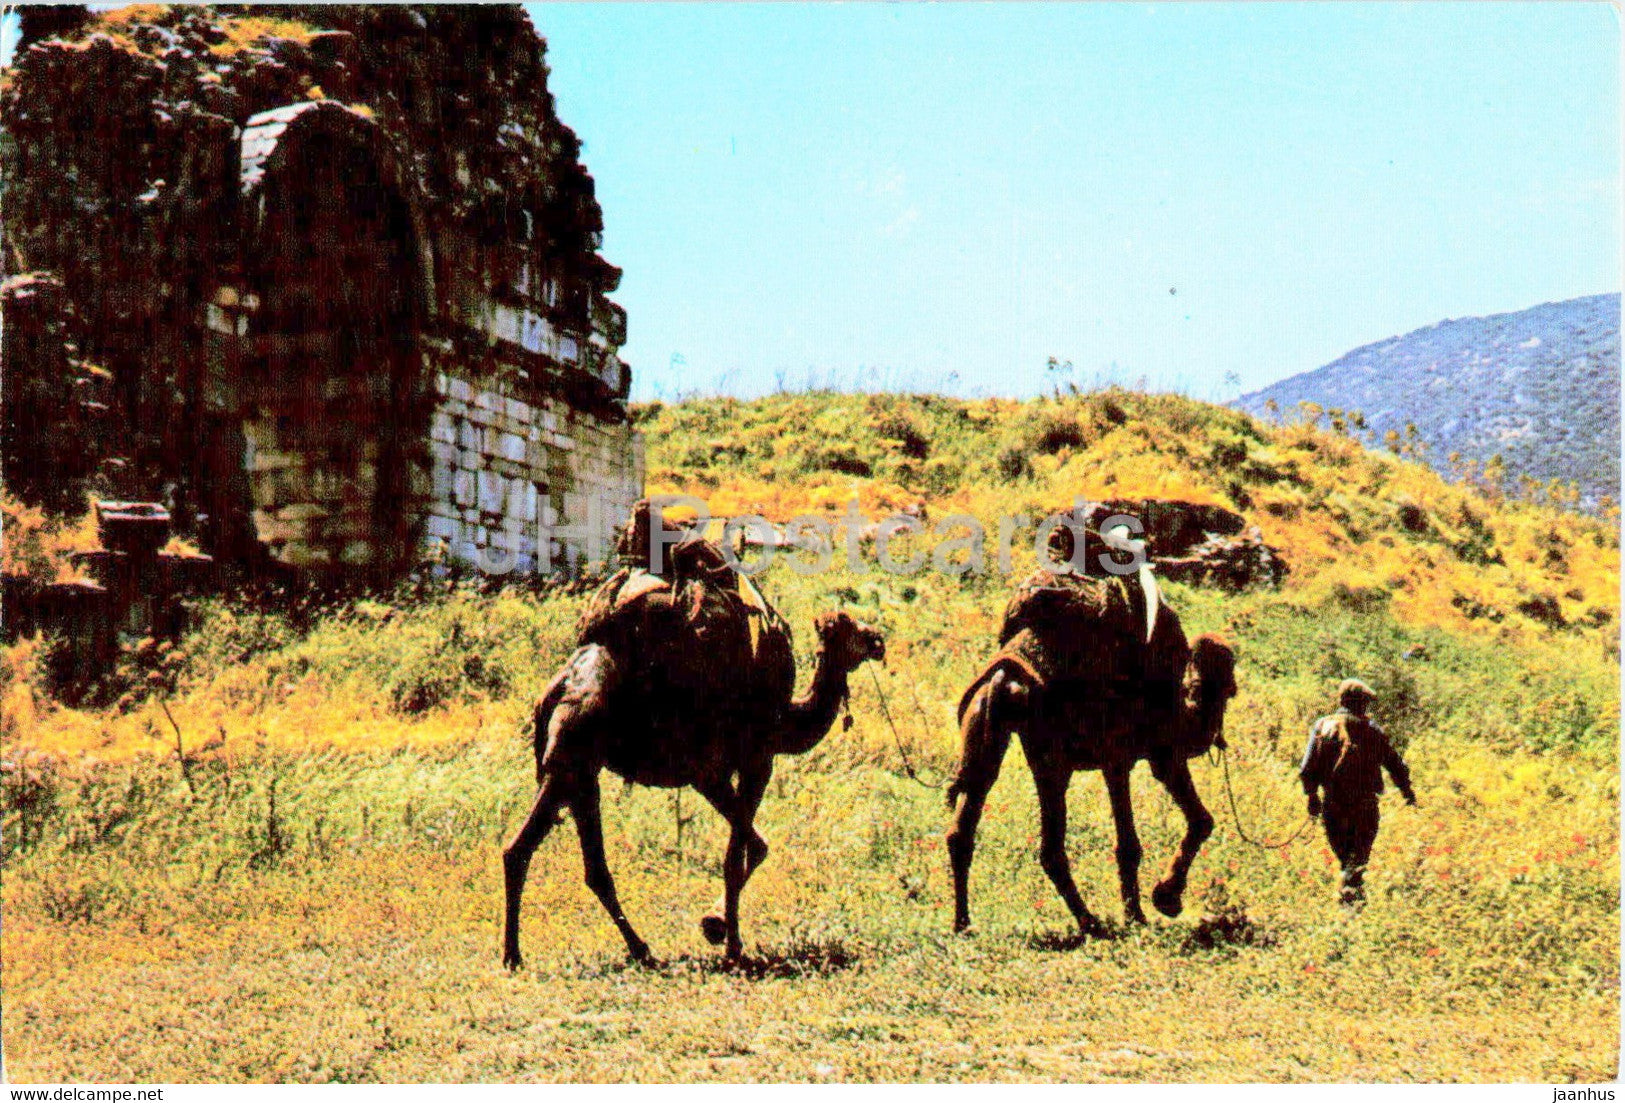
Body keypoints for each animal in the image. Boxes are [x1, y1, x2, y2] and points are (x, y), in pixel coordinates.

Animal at [503, 552, 890, 968]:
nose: (878, 641)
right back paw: (514, 955)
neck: (784, 718)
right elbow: (740, 853)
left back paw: (639, 950)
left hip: (581, 773)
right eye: (849, 626)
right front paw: (731, 943)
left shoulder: (709, 776)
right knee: (521, 850)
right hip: (570, 759)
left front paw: (715, 925)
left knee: (591, 867)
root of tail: (555, 690)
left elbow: (753, 846)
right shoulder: (750, 762)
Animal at [949, 562, 1235, 942]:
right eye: (1227, 682)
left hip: (985, 725)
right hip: (1052, 755)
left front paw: (1160, 901)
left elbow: (1195, 821)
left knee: (967, 828)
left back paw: (964, 923)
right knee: (1050, 847)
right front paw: (1152, 906)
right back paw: (1091, 922)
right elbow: (1141, 840)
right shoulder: (1134, 755)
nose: (1220, 734)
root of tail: (1006, 673)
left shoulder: (1146, 755)